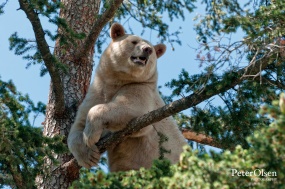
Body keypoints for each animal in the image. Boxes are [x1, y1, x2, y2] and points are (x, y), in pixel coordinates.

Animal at [67, 22, 185, 171]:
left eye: (152, 49)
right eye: (134, 41)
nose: (147, 49)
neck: (117, 81)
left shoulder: (141, 88)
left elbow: (130, 107)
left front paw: (90, 135)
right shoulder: (96, 92)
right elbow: (78, 125)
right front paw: (87, 155)